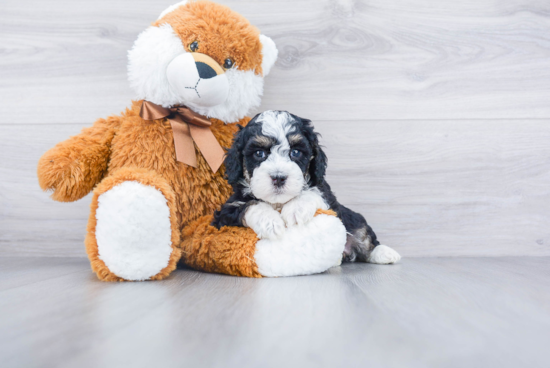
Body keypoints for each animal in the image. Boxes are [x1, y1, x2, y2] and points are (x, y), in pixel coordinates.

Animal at [213, 110, 404, 264]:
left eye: (295, 152)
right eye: (259, 153)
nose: (279, 178)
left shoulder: (327, 196)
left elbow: (314, 192)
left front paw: (296, 209)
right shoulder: (225, 214)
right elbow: (249, 205)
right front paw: (270, 222)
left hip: (353, 220)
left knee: (364, 235)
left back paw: (385, 253)